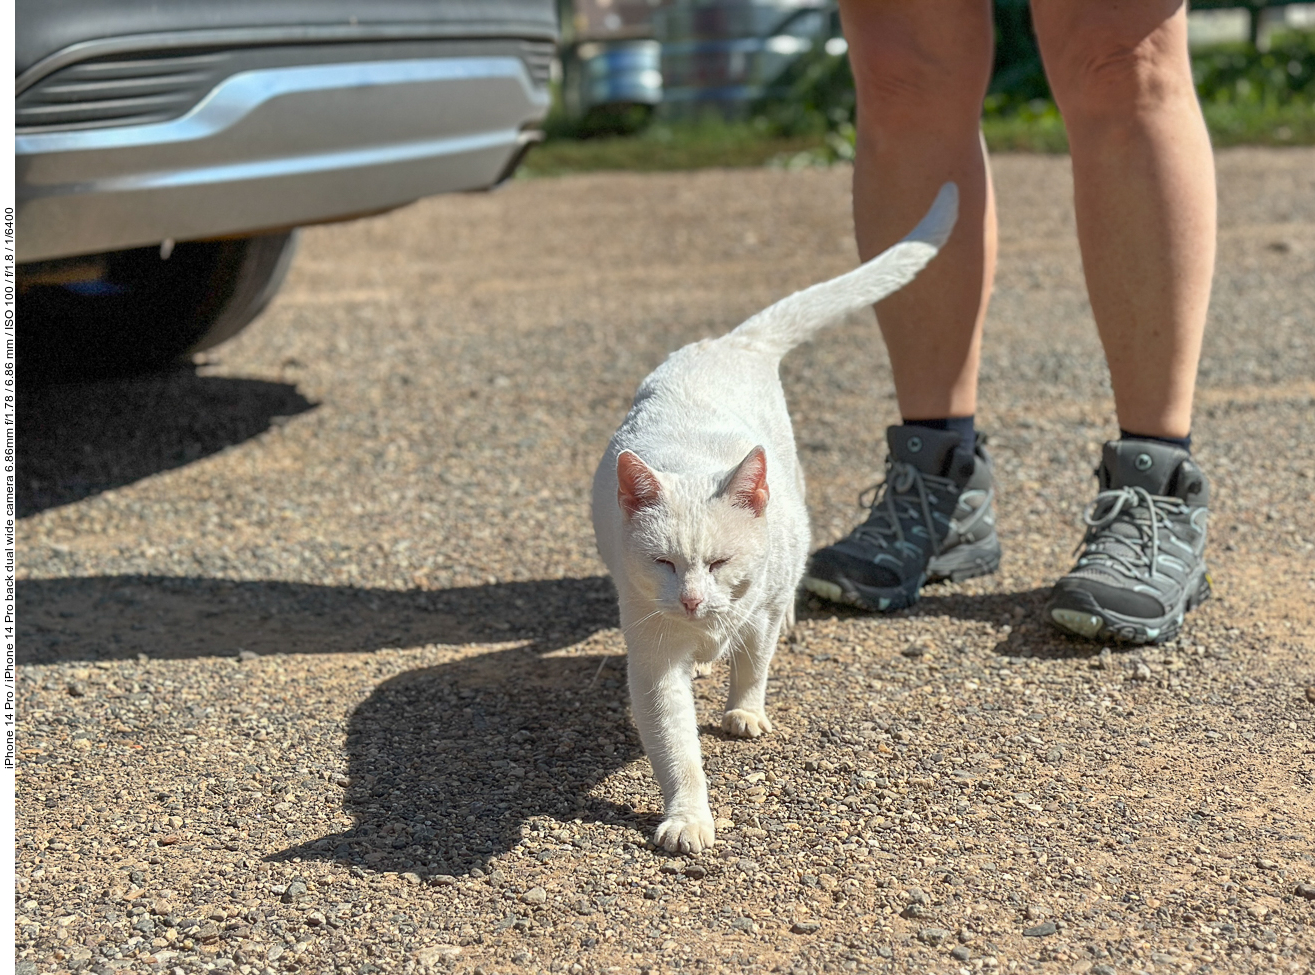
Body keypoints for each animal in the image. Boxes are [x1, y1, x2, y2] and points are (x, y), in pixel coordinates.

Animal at [594, 184, 957, 852]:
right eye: (664, 563)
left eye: (719, 562)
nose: (691, 600)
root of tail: (727, 343)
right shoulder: (653, 654)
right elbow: (676, 747)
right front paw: (687, 818)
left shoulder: (754, 611)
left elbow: (753, 664)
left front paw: (744, 712)